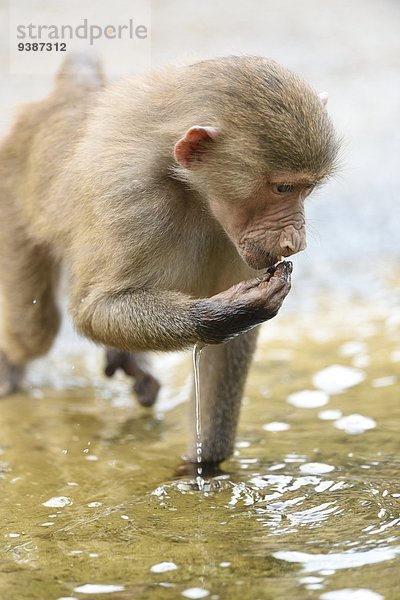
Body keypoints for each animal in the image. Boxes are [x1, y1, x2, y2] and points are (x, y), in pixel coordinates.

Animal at [0, 55, 340, 464]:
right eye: (283, 187)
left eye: (305, 189)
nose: (295, 241)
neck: (189, 189)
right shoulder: (133, 201)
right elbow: (93, 309)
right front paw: (228, 313)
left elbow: (225, 354)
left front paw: (205, 465)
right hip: (10, 197)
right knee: (32, 332)